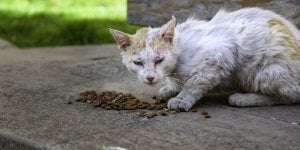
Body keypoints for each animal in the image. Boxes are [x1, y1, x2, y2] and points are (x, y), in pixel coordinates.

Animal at [110, 7, 300, 110]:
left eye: (159, 60)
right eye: (138, 63)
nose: (150, 77)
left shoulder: (220, 55)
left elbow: (193, 84)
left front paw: (181, 99)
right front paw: (170, 88)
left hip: (269, 71)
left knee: (289, 96)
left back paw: (244, 98)